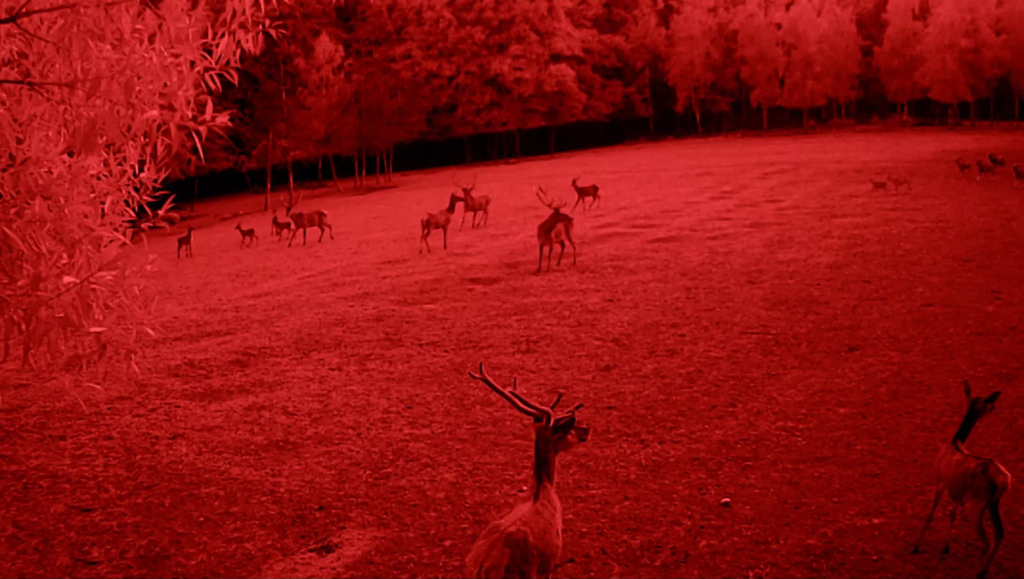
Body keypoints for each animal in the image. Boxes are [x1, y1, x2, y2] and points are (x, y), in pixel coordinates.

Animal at [912, 381, 1011, 579]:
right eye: (986, 403)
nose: (995, 406)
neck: (955, 442)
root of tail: (1003, 480)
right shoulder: (955, 491)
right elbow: (952, 515)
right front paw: (945, 547)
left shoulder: (939, 480)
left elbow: (930, 513)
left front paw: (916, 546)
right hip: (993, 504)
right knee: (1000, 534)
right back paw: (983, 570)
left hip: (976, 505)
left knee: (986, 541)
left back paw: (978, 571)